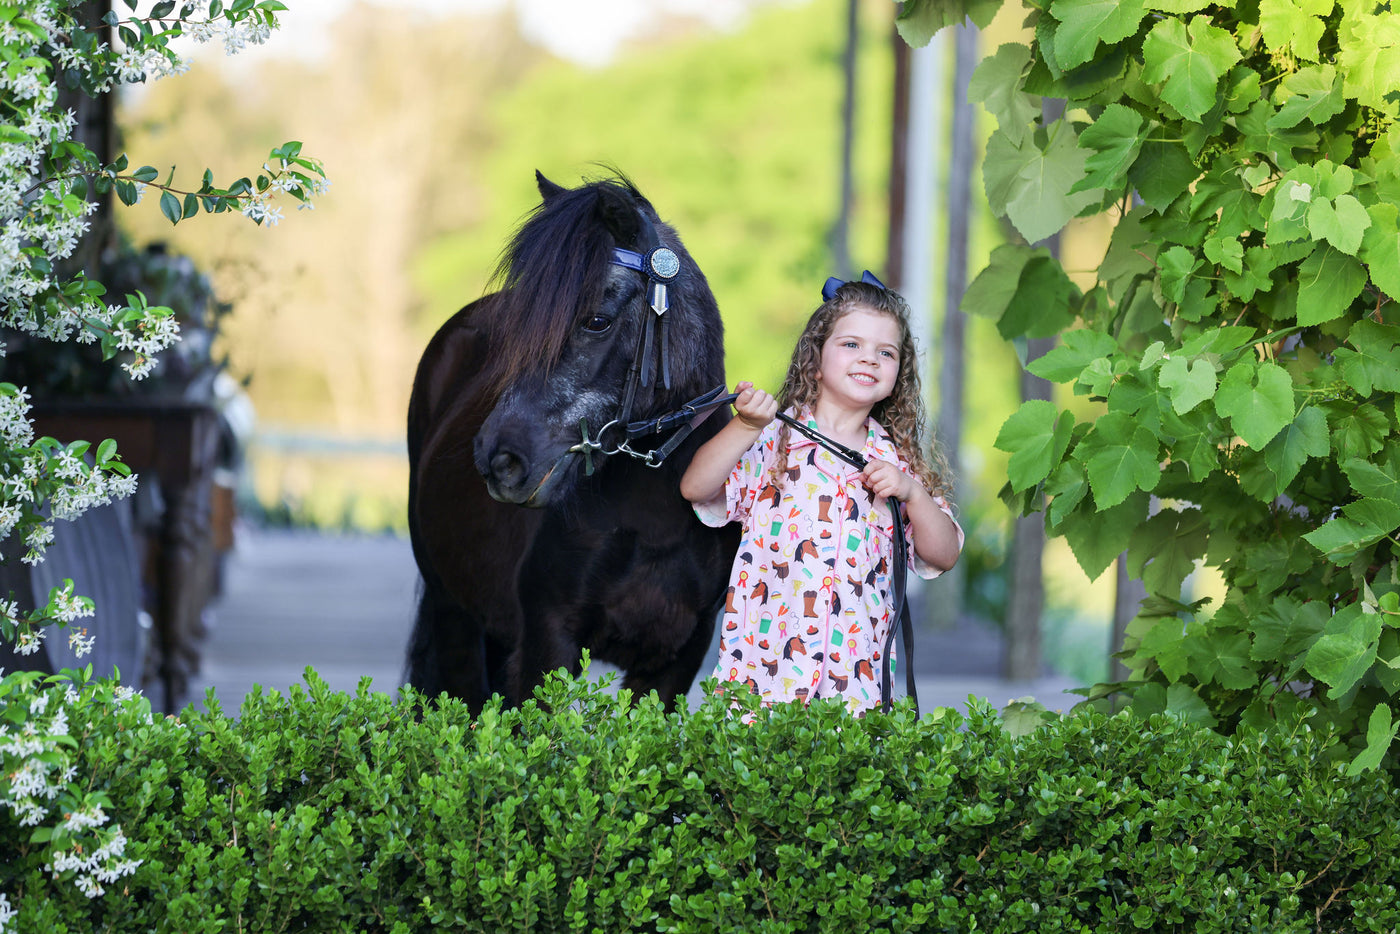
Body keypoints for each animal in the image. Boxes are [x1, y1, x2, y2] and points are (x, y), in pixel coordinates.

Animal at [406, 171, 739, 711]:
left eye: (596, 320)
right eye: (515, 330)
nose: (499, 460)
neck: (656, 522)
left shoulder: (675, 660)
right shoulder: (547, 646)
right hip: (452, 614)